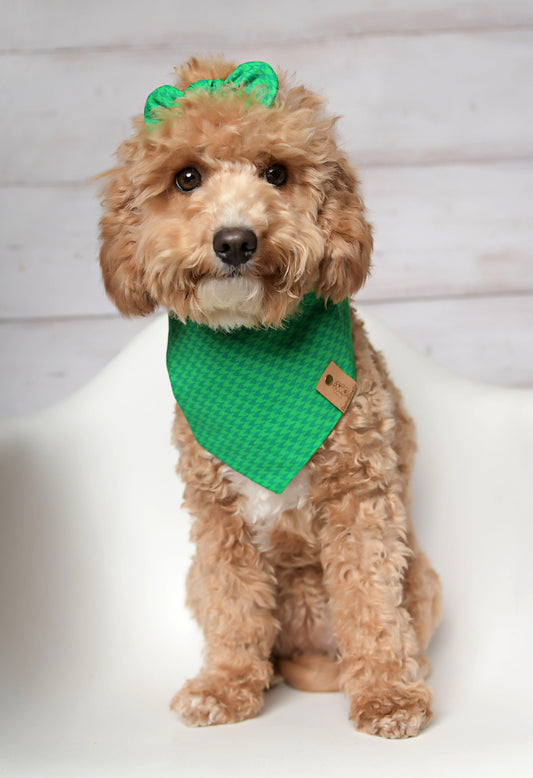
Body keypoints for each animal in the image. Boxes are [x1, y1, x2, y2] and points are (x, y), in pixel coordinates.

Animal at [100, 57, 440, 736]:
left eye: (276, 173)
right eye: (186, 177)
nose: (235, 240)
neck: (254, 348)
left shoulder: (359, 500)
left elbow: (371, 604)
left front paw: (389, 695)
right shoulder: (216, 519)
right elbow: (235, 609)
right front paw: (226, 687)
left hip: (423, 578)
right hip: (194, 579)